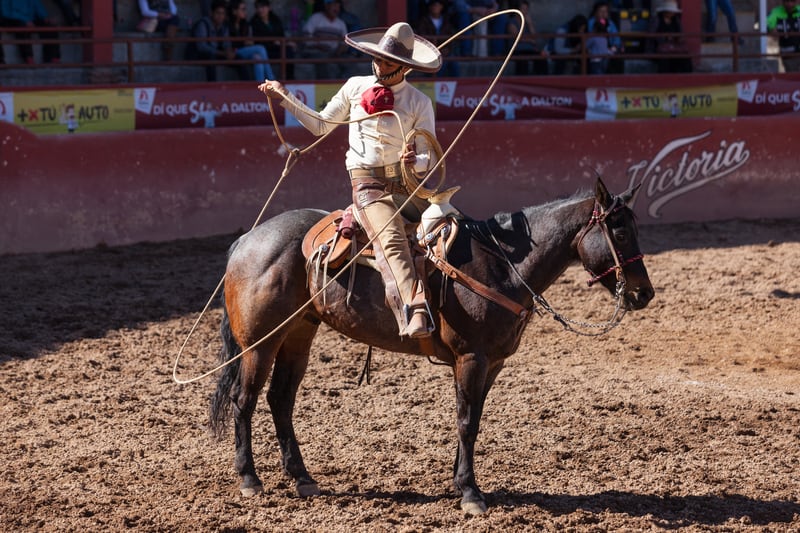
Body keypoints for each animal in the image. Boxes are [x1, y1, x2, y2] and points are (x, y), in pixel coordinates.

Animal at [209, 179, 652, 516]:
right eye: (620, 232)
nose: (643, 293)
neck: (502, 267)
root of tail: (248, 239)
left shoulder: (491, 364)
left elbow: (471, 420)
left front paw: (460, 483)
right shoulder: (472, 358)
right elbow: (467, 422)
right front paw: (471, 493)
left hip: (298, 335)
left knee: (280, 400)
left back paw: (302, 477)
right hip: (259, 343)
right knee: (243, 399)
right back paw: (249, 478)